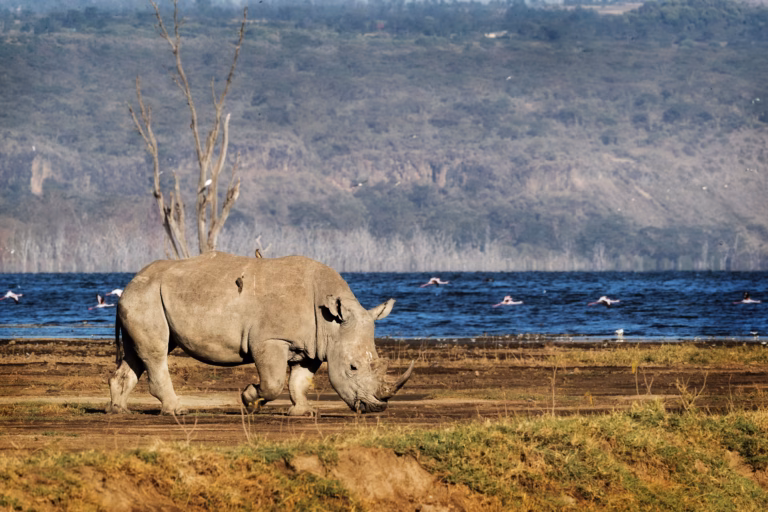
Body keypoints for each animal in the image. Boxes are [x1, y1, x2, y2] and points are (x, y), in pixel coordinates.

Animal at [107, 251, 414, 416]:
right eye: (353, 367)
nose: (376, 408)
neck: (331, 324)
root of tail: (130, 283)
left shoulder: (313, 346)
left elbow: (299, 381)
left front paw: (304, 412)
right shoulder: (270, 340)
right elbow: (274, 381)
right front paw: (249, 399)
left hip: (145, 297)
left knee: (137, 353)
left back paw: (119, 410)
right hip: (146, 297)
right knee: (156, 353)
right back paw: (177, 411)